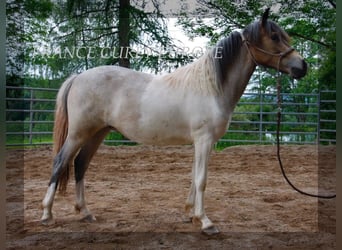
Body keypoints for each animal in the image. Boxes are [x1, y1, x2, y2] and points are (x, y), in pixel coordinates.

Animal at [40, 8, 308, 234]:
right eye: (274, 36)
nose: (302, 66)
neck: (211, 87)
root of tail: (78, 77)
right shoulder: (204, 139)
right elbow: (201, 180)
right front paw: (206, 223)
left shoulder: (203, 142)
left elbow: (193, 177)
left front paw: (191, 214)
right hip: (78, 133)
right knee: (60, 163)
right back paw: (47, 214)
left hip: (98, 132)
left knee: (80, 165)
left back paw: (85, 212)